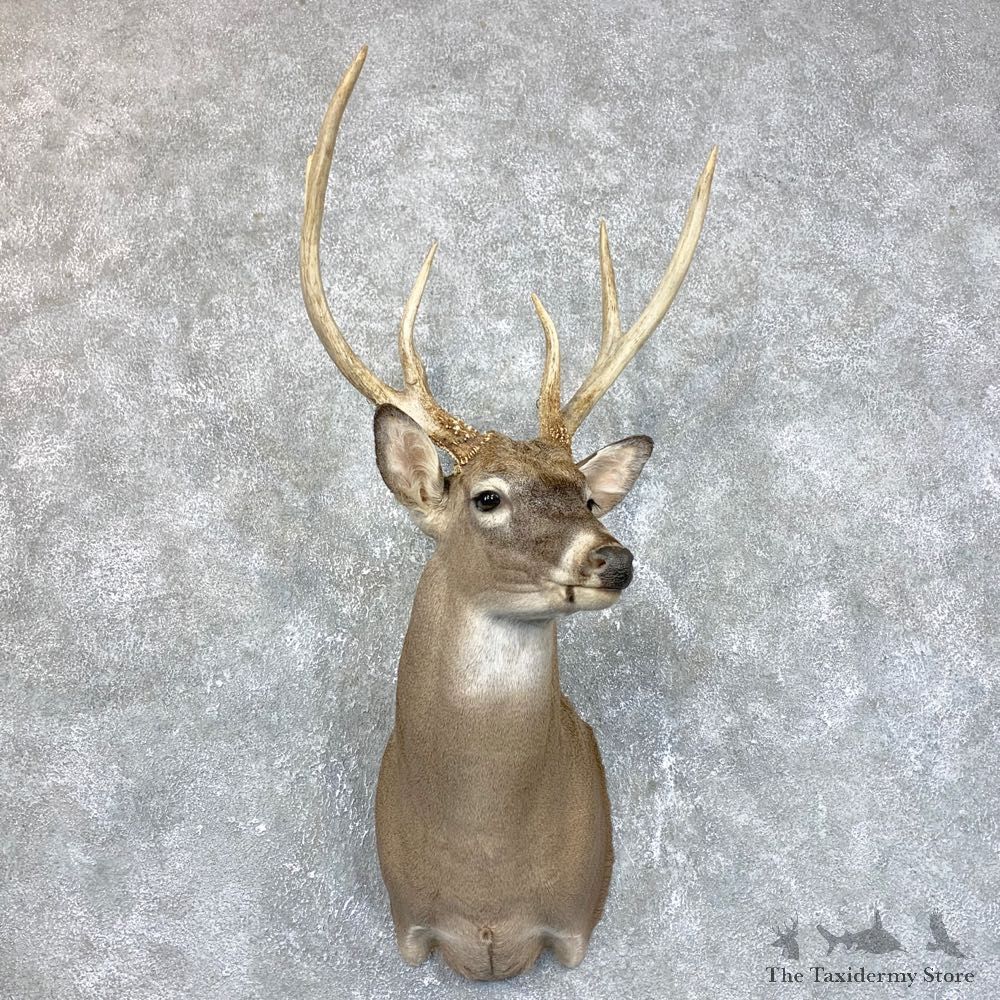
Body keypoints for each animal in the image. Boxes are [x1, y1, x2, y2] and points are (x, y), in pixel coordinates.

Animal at [299, 46, 716, 981]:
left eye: (590, 494)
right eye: (485, 495)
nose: (612, 557)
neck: (487, 875)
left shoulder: (576, 925)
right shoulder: (410, 927)